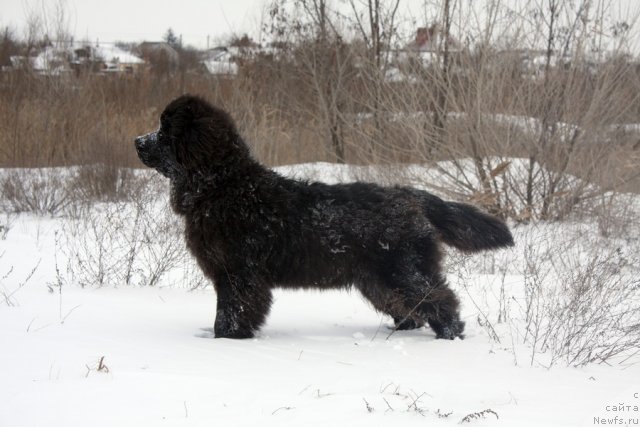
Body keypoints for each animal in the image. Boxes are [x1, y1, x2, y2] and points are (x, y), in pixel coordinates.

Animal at [136, 94, 516, 342]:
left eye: (165, 131)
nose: (137, 141)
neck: (223, 186)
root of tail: (410, 195)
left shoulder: (239, 273)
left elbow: (232, 312)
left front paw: (227, 340)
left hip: (404, 270)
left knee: (438, 300)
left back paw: (449, 336)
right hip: (377, 279)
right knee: (410, 308)